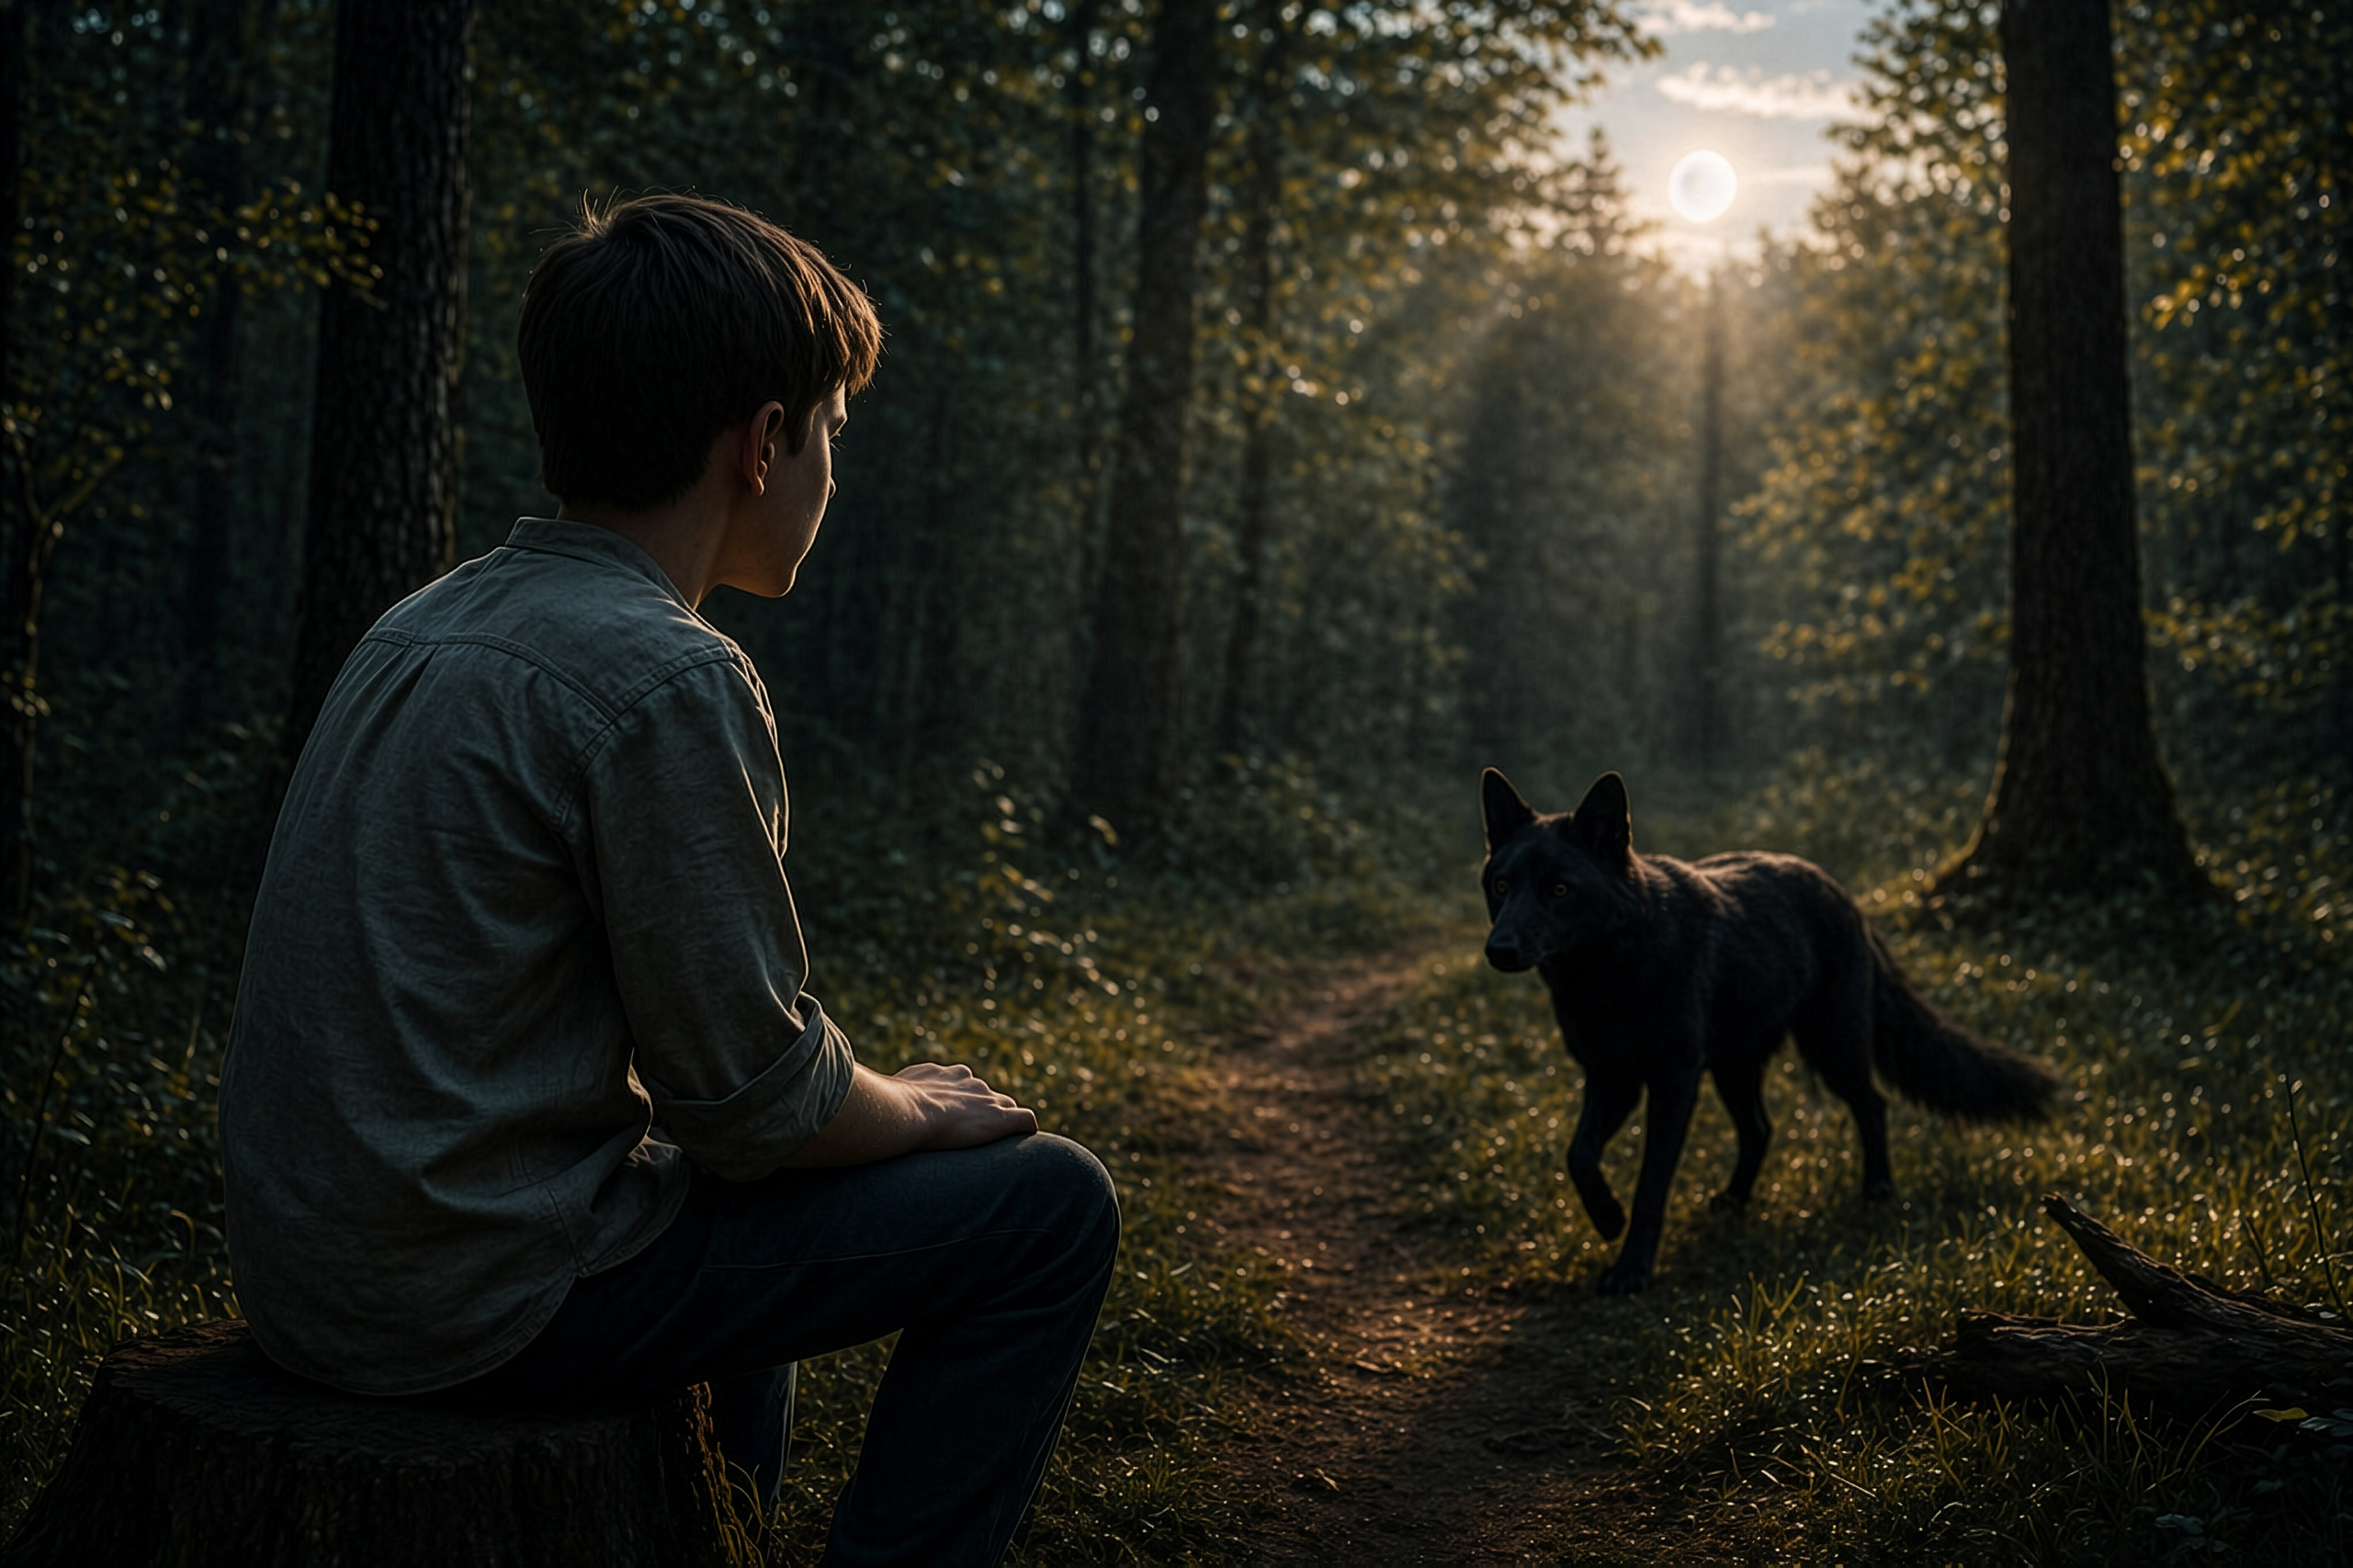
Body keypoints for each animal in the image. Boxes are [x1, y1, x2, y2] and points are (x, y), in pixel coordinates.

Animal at [1479, 768, 2062, 1295]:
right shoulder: (1610, 1078)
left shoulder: (1672, 1082)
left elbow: (1650, 1185)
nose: (1498, 950)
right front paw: (1607, 1220)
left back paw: (1876, 1191)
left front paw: (1632, 1269)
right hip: (1734, 1068)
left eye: (1559, 889)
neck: (1609, 974)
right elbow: (1578, 1155)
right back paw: (1734, 1201)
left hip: (1832, 1049)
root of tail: (1845, 897)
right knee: (1760, 1128)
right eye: (1502, 886)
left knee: (1871, 1105)